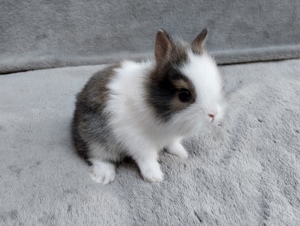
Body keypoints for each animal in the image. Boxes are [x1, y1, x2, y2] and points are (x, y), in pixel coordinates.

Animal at [71, 27, 224, 184]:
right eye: (184, 95)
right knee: (97, 156)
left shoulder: (171, 136)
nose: (213, 114)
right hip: (95, 139)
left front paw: (182, 153)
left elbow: (173, 143)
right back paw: (104, 176)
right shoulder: (137, 139)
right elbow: (147, 157)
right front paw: (154, 176)